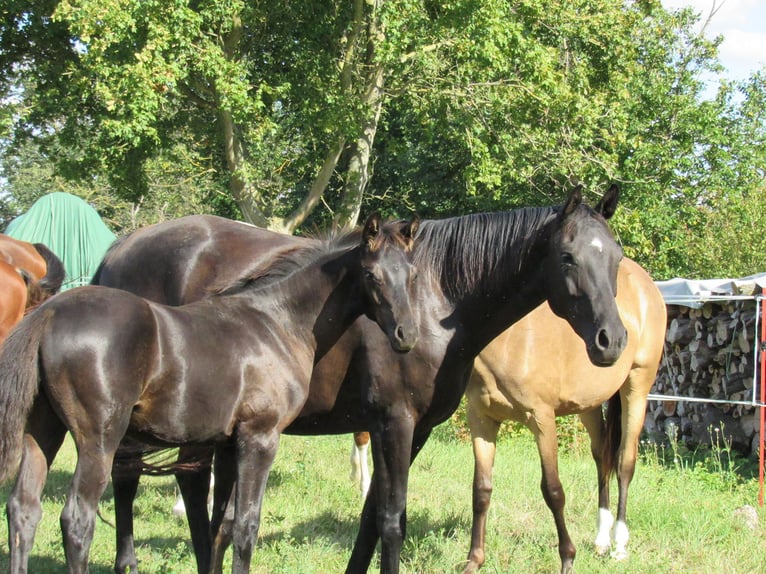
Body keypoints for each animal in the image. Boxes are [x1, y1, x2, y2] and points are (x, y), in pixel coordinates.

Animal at [0, 213, 420, 574]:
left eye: (413, 273)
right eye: (371, 275)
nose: (407, 335)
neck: (277, 321)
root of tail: (48, 314)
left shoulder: (230, 442)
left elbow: (221, 526)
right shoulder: (260, 436)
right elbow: (246, 527)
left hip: (43, 432)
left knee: (24, 509)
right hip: (99, 439)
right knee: (78, 520)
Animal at [93, 184, 627, 574]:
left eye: (616, 258)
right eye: (568, 258)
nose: (613, 340)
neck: (436, 299)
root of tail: (121, 247)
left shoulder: (413, 429)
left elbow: (372, 518)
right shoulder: (395, 422)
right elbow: (392, 521)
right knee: (130, 478)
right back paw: (129, 563)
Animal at [461, 257, 666, 574]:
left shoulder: (542, 420)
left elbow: (553, 490)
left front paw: (568, 558)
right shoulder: (482, 420)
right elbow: (481, 489)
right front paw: (474, 561)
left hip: (637, 386)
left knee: (624, 463)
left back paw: (619, 545)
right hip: (591, 404)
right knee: (602, 458)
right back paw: (601, 540)